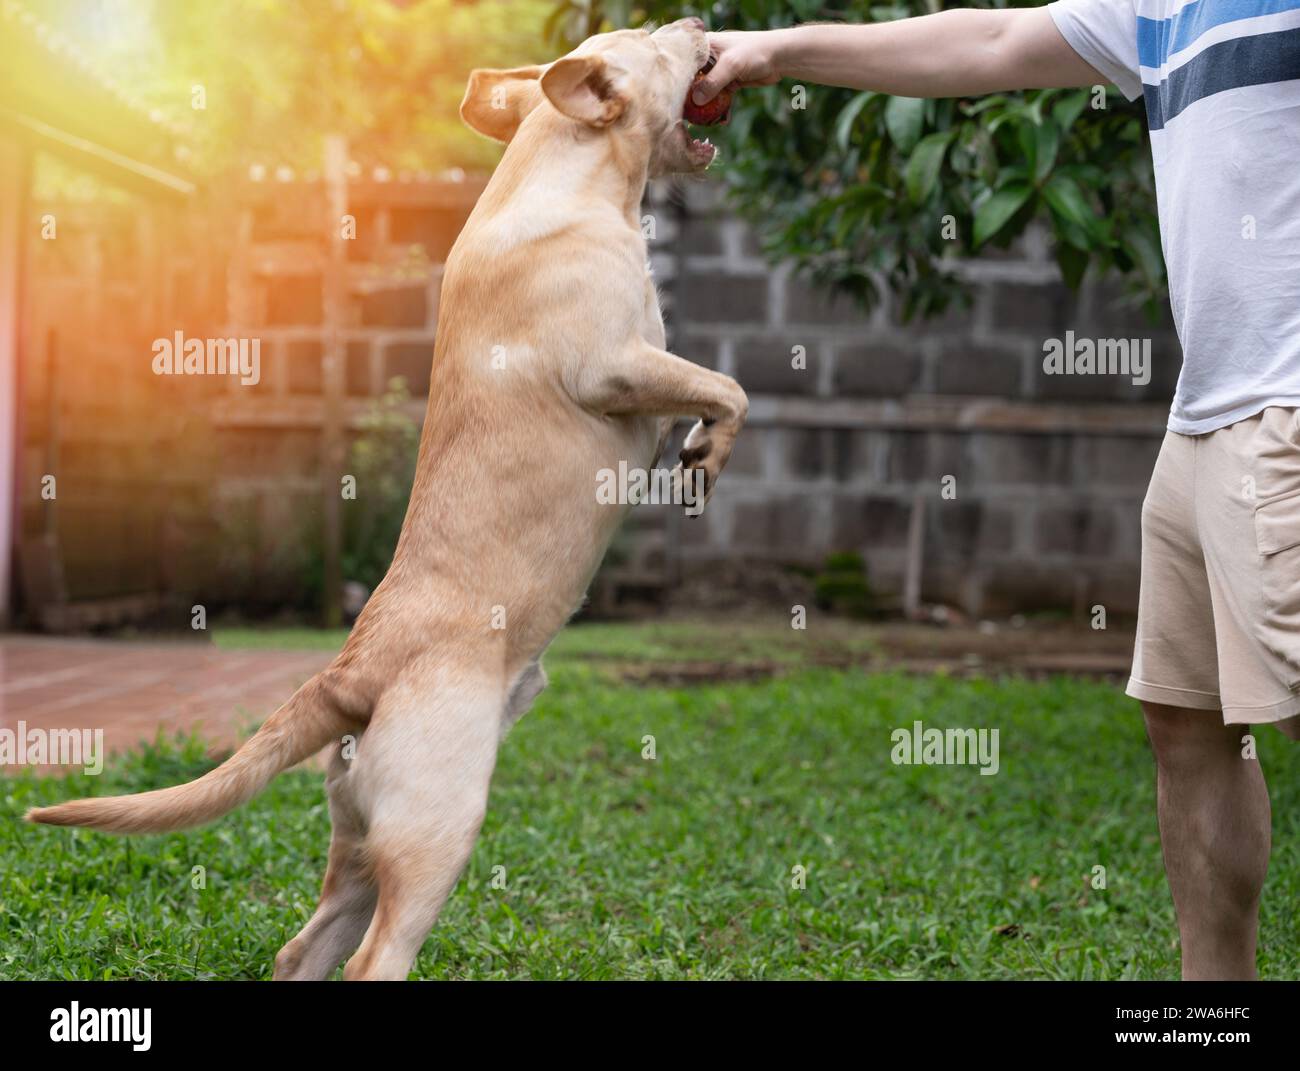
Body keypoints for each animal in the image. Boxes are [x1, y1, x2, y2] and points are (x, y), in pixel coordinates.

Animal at [22, 18, 754, 987]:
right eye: (654, 41)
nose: (702, 24)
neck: (565, 168)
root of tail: (348, 676)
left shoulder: (647, 367)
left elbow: (713, 391)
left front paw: (700, 452)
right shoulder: (615, 364)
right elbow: (729, 384)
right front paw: (708, 454)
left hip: (364, 842)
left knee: (304, 947)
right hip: (437, 830)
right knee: (375, 959)